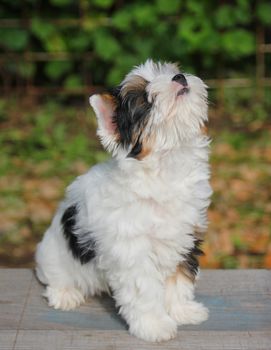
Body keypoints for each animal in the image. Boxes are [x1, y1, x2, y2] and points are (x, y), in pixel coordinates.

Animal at [35, 60, 212, 342]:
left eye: (172, 71)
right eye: (145, 100)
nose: (179, 78)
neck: (166, 167)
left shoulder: (185, 237)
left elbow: (179, 279)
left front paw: (182, 310)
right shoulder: (133, 252)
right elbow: (145, 291)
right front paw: (154, 325)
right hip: (54, 252)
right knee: (54, 275)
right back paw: (65, 293)